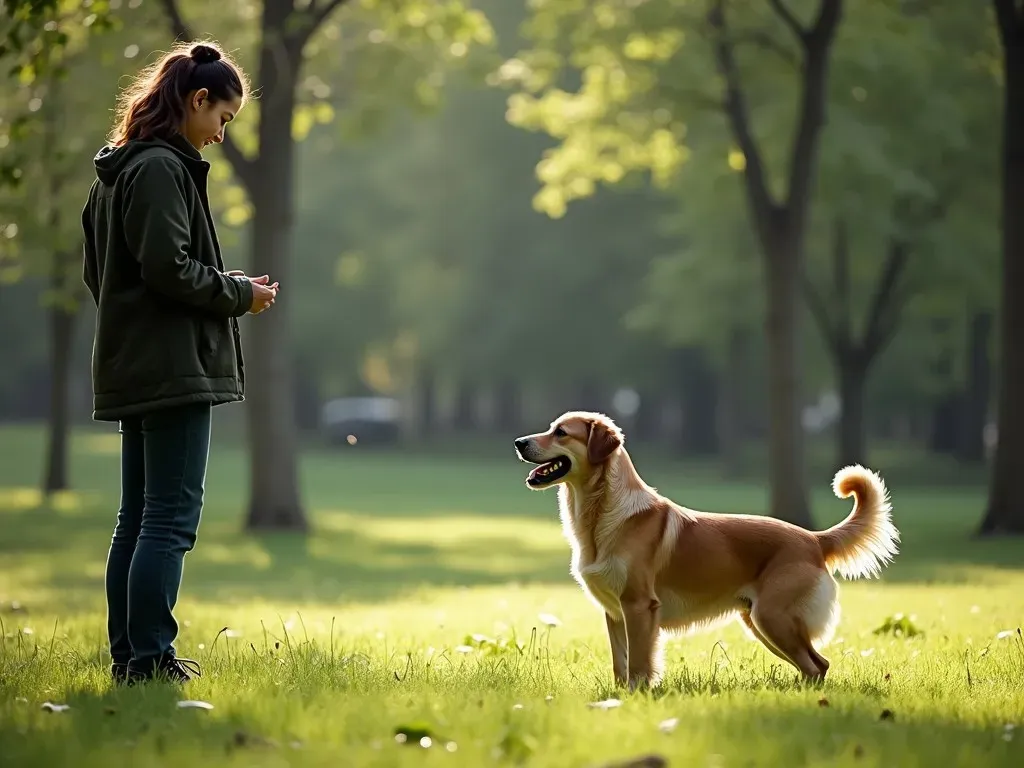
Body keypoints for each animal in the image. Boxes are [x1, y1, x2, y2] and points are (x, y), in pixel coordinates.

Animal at [512, 411, 897, 696]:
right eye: (551, 428)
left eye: (561, 433)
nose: (518, 442)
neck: (604, 514)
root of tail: (814, 539)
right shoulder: (614, 613)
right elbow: (620, 664)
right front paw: (619, 698)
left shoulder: (639, 606)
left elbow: (638, 664)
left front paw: (637, 696)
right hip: (761, 622)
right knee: (816, 665)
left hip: (773, 618)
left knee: (817, 665)